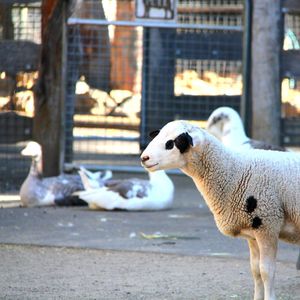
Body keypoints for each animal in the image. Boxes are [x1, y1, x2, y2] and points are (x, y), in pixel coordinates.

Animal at [142, 119, 300, 300]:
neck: (235, 172)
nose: (144, 158)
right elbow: (255, 271)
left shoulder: (267, 225)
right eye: (157, 136)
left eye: (171, 143)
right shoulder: (253, 233)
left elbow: (266, 271)